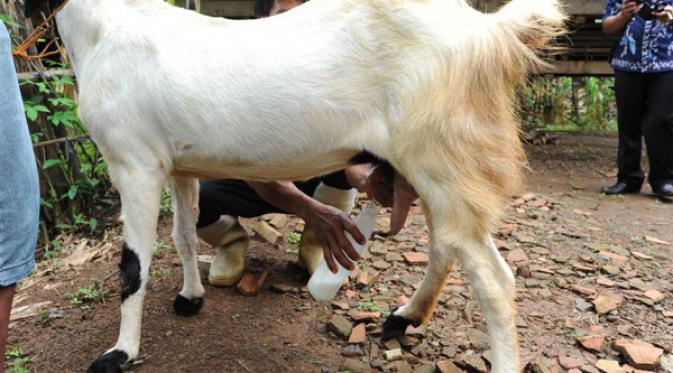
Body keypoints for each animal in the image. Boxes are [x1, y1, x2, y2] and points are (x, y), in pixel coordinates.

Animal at [36, 0, 564, 370]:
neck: (105, 27)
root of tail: (489, 32)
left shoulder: (133, 162)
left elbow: (131, 266)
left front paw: (120, 353)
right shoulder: (179, 166)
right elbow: (182, 236)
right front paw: (190, 296)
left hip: (444, 155)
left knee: (494, 279)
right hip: (432, 165)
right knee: (446, 247)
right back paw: (403, 317)